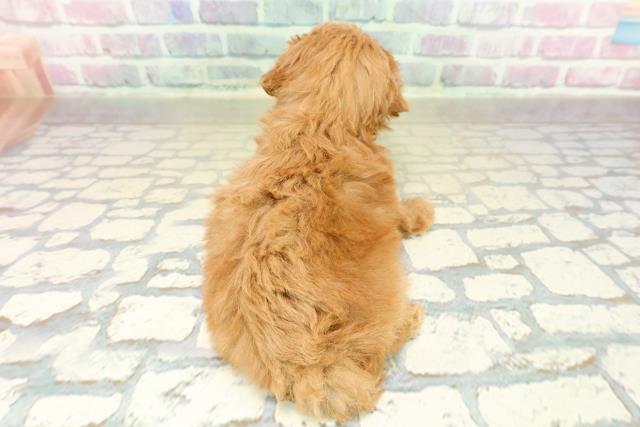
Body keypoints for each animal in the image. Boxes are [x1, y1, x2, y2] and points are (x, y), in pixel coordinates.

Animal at [202, 22, 434, 423]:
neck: (318, 127)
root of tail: (307, 362)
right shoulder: (390, 205)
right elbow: (405, 213)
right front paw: (422, 209)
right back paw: (410, 318)